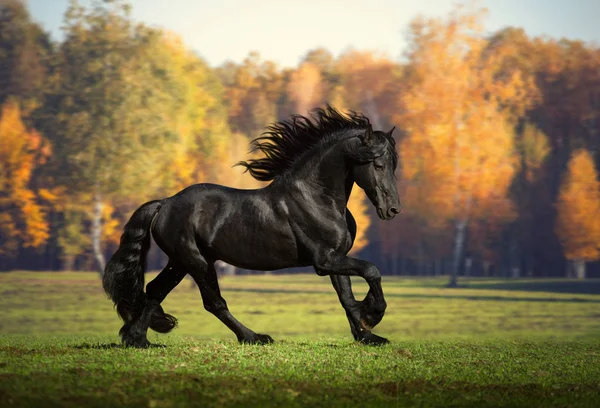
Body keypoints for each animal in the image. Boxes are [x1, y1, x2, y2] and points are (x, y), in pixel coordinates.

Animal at [103, 105, 400, 348]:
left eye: (393, 165)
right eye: (378, 164)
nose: (393, 210)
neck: (316, 197)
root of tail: (165, 204)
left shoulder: (336, 257)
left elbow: (346, 297)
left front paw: (368, 336)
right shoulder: (324, 260)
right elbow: (371, 271)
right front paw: (373, 313)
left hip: (180, 261)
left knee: (155, 291)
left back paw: (137, 339)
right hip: (196, 261)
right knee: (213, 302)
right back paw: (254, 337)